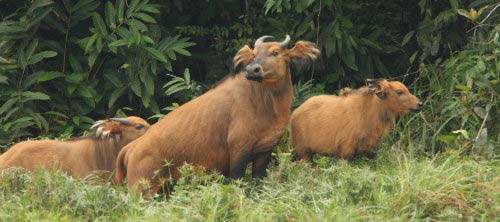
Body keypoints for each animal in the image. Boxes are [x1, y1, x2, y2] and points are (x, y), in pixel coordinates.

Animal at [116, 34, 320, 193]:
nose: (252, 70)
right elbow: (238, 184)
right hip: (143, 191)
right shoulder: (238, 151)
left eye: (275, 52)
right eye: (254, 54)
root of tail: (132, 147)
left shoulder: (264, 151)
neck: (266, 105)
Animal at [292, 80, 424, 161]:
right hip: (303, 153)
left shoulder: (371, 150)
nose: (420, 104)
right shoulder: (346, 151)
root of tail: (294, 113)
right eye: (399, 92)